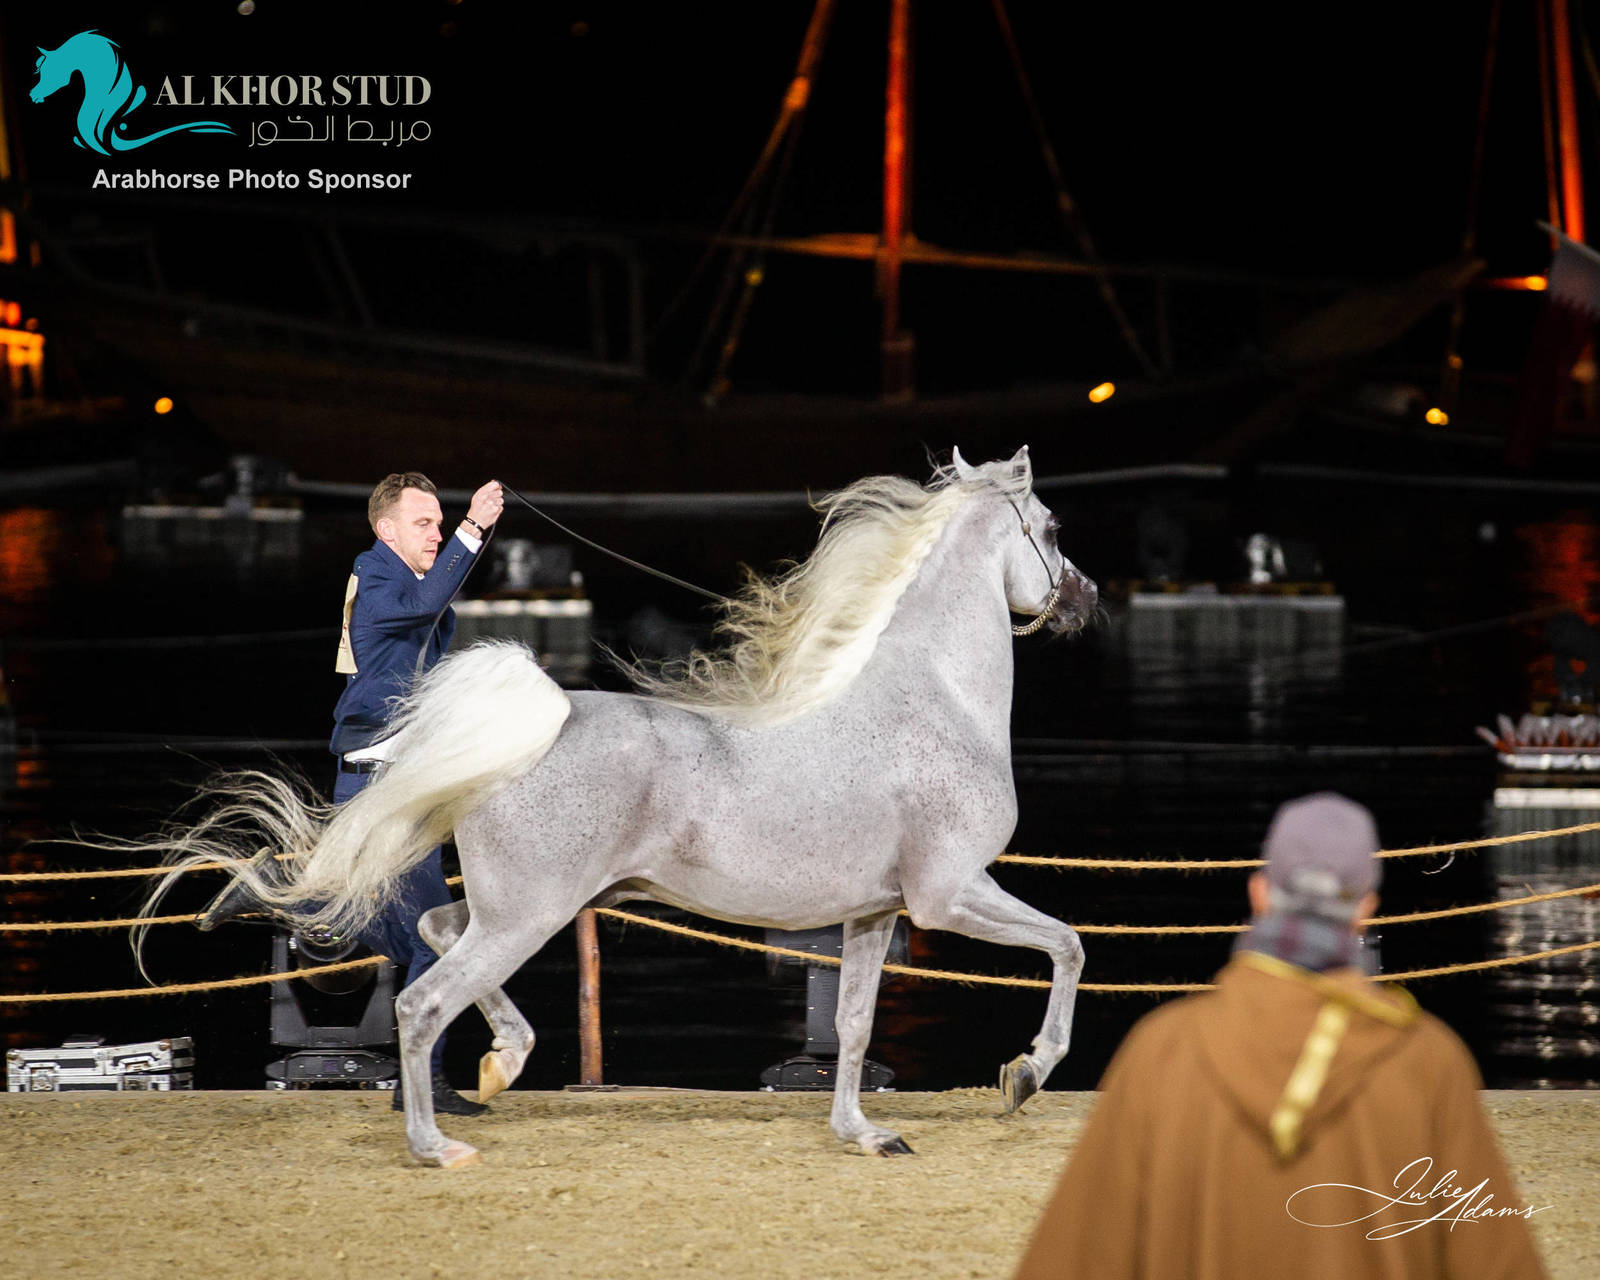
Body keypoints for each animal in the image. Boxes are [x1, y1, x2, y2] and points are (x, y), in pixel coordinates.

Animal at [140, 447, 1098, 1168]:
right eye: (1052, 529)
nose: (1084, 601)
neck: (932, 700)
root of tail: (523, 732)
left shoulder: (873, 914)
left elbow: (855, 1027)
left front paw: (864, 1134)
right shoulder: (949, 894)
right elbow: (1067, 947)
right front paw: (1026, 1074)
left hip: (513, 908)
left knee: (434, 931)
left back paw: (500, 1065)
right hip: (528, 914)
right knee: (421, 1002)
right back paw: (438, 1143)